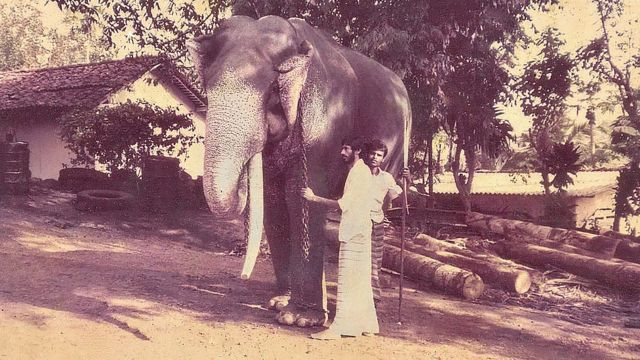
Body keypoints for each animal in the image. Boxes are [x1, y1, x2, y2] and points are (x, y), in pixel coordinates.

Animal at [188, 15, 412, 328]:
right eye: (208, 88)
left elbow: (299, 196)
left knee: (377, 212)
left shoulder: (325, 119)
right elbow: (274, 200)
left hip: (397, 147)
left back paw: (371, 302)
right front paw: (279, 302)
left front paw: (300, 319)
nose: (242, 276)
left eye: (272, 90)